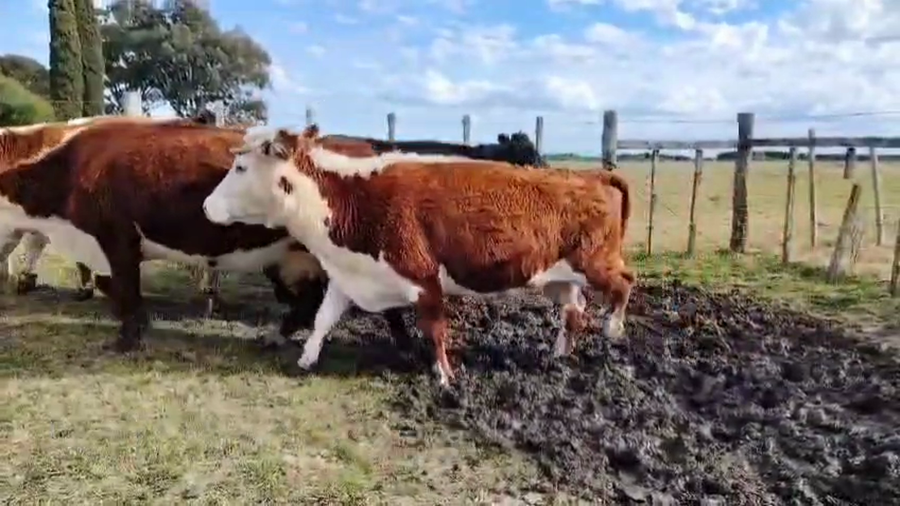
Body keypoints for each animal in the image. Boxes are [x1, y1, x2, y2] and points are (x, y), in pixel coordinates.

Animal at [0, 117, 415, 352]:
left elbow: (126, 290)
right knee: (310, 300)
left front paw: (127, 339)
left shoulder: (115, 238)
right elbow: (114, 287)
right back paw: (278, 336)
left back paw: (406, 350)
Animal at [201, 124, 635, 387]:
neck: (354, 198)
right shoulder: (349, 274)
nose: (206, 206)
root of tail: (588, 176)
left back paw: (613, 327)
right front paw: (307, 357)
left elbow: (435, 330)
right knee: (573, 313)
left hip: (595, 263)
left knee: (624, 283)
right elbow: (324, 318)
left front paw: (443, 375)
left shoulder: (425, 280)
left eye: (240, 168)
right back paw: (559, 355)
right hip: (556, 277)